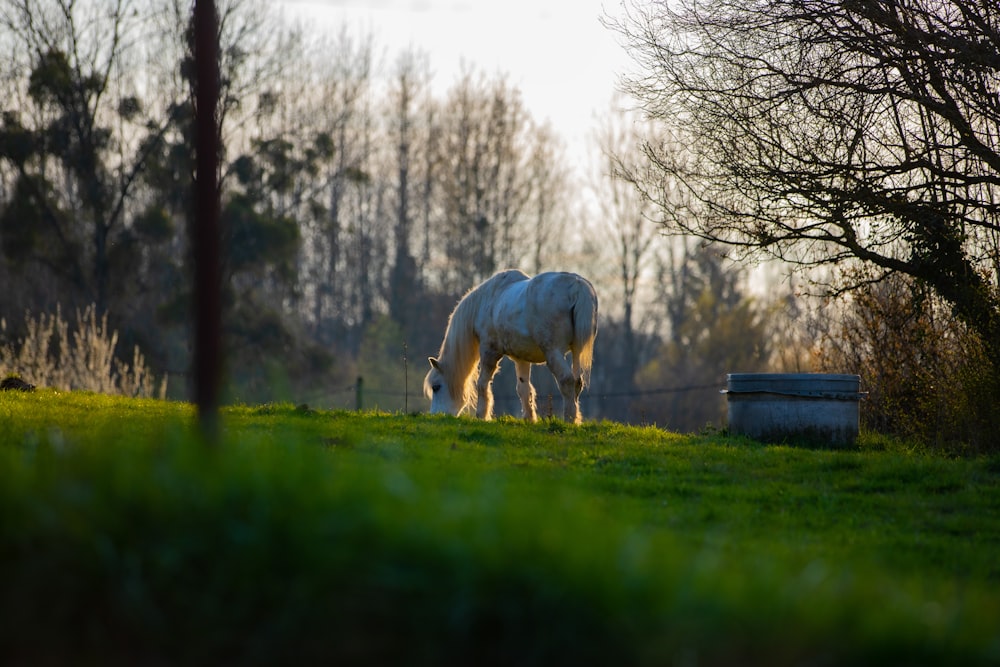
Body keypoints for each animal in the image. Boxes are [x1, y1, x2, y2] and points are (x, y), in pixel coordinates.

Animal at [424, 270, 596, 422]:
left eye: (436, 387)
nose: (436, 416)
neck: (488, 301)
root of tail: (577, 286)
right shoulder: (522, 358)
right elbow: (524, 389)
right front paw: (529, 419)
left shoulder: (489, 351)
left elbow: (482, 384)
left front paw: (481, 416)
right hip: (576, 352)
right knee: (577, 382)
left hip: (554, 352)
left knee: (567, 381)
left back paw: (569, 420)